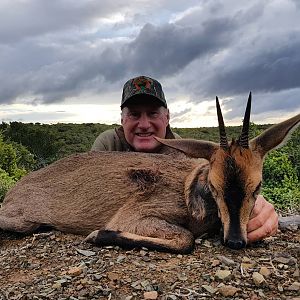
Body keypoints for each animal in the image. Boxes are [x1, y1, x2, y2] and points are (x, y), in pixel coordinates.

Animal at [0, 94, 298, 253]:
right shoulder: (136, 215)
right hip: (21, 221)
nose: (235, 241)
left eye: (257, 186)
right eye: (213, 186)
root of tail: (15, 190)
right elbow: (185, 239)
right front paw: (98, 234)